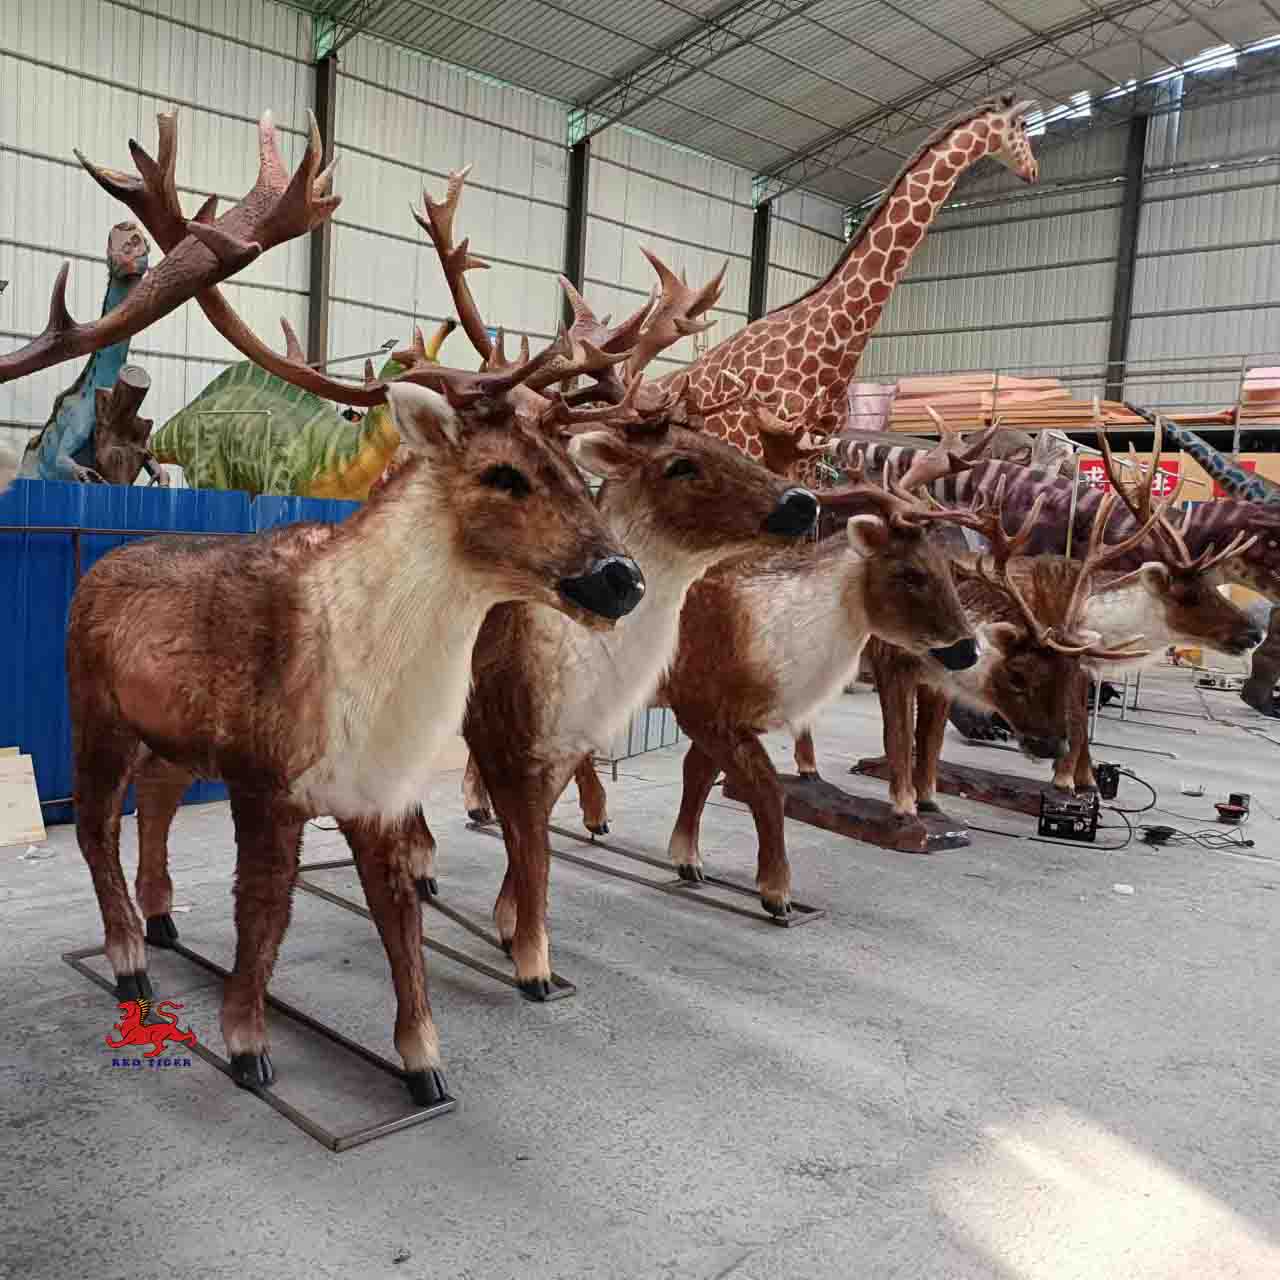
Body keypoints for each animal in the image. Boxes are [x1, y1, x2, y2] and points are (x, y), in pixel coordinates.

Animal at [66, 131, 661, 1106]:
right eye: (502, 472)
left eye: (579, 471)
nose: (621, 579)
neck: (366, 677)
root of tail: (97, 568)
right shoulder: (267, 780)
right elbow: (263, 914)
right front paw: (247, 1044)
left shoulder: (378, 792)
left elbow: (398, 921)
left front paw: (424, 1061)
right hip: (93, 710)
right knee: (94, 823)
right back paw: (128, 961)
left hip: (173, 737)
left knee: (154, 798)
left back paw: (162, 922)